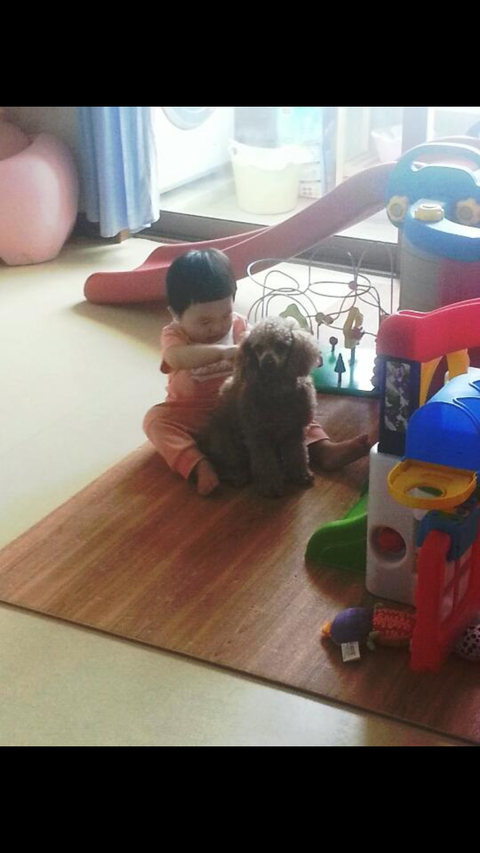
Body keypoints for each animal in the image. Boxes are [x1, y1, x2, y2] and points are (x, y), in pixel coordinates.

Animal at [198, 317, 321, 497]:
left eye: (281, 345)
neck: (277, 390)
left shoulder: (294, 430)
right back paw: (237, 475)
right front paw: (271, 486)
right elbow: (265, 462)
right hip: (227, 444)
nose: (267, 363)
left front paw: (300, 474)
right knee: (225, 465)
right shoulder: (258, 435)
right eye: (257, 347)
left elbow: (297, 454)